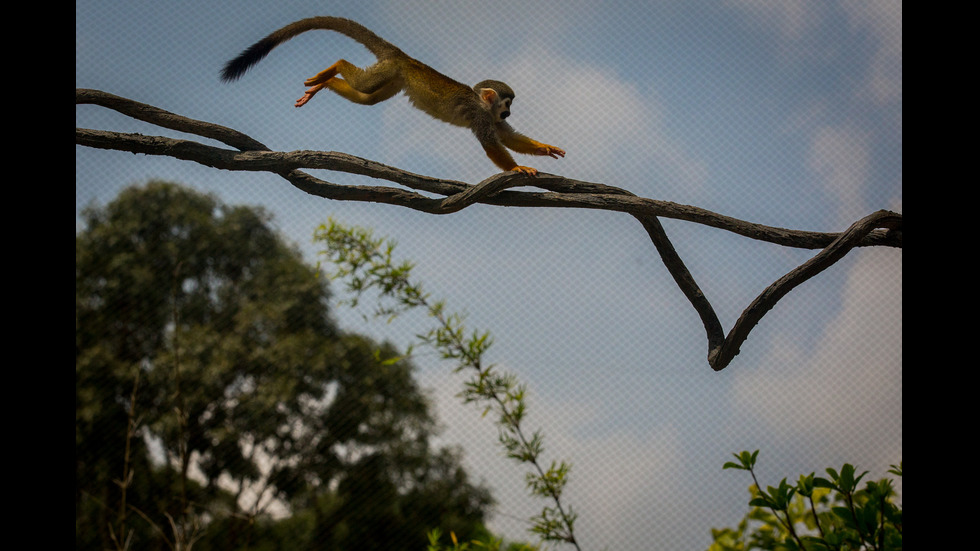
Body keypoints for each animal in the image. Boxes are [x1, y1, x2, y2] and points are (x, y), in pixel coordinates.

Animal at [218, 15, 564, 175]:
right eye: (507, 104)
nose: (508, 113)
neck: (483, 104)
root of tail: (401, 56)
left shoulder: (489, 116)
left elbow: (508, 138)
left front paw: (544, 148)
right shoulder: (480, 114)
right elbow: (493, 144)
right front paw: (517, 168)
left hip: (393, 78)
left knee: (368, 97)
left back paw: (325, 83)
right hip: (387, 71)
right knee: (363, 84)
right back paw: (335, 67)